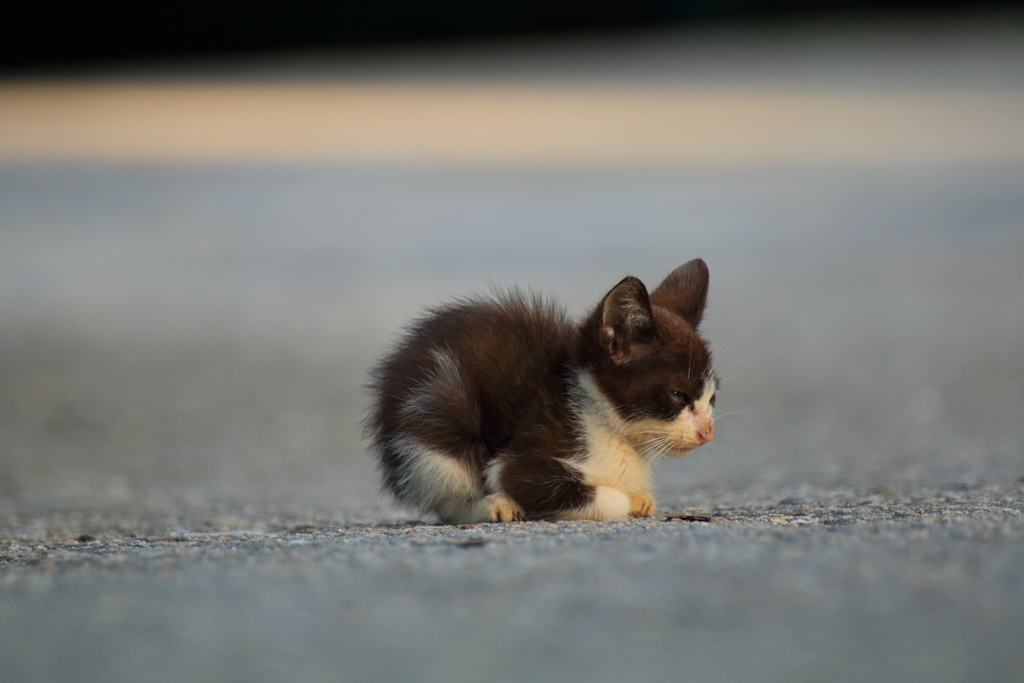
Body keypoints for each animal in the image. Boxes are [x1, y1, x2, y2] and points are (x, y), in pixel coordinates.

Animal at [364, 260, 716, 524]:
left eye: (712, 398)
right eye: (677, 395)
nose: (708, 433)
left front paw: (640, 497)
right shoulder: (524, 459)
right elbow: (610, 500)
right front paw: (625, 500)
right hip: (439, 415)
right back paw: (495, 506)